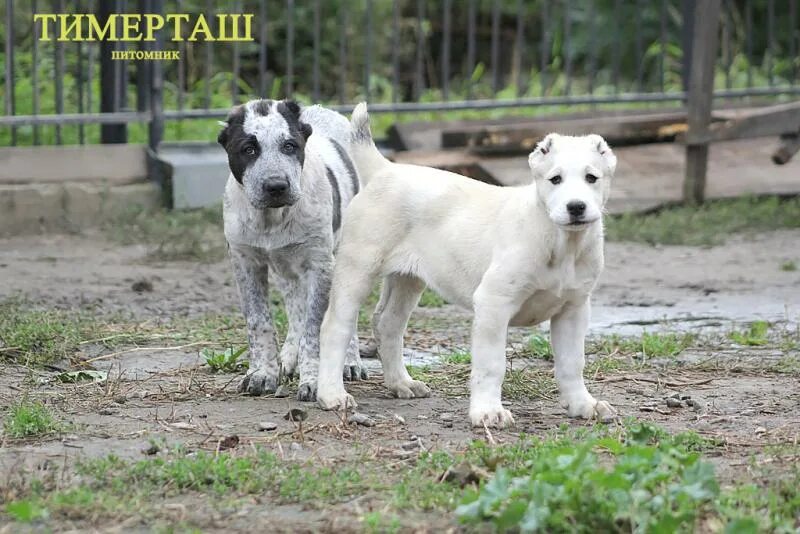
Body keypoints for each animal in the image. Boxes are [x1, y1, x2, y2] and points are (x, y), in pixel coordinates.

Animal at [220, 100, 368, 402]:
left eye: (290, 146)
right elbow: (259, 321)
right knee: (295, 306)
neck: (272, 219)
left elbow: (315, 328)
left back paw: (350, 362)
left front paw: (314, 381)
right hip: (287, 269)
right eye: (248, 149)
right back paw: (289, 358)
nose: (276, 186)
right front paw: (262, 374)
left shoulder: (320, 266)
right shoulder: (245, 263)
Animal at [316, 103, 616, 432]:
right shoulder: (494, 303)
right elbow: (492, 365)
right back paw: (331, 394)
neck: (563, 244)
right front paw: (487, 412)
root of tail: (386, 169)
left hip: (407, 279)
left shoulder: (574, 309)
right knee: (335, 326)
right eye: (555, 180)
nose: (576, 207)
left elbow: (572, 362)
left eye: (592, 178)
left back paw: (401, 383)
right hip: (357, 268)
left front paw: (582, 404)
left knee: (388, 324)